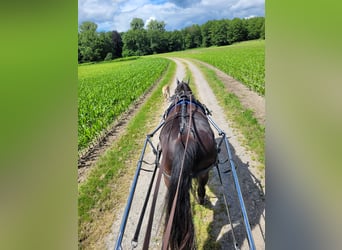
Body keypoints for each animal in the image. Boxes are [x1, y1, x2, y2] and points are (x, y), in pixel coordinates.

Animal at [159, 80, 218, 250]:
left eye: (175, 91)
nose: (172, 96)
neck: (184, 97)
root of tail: (185, 138)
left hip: (168, 176)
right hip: (203, 170)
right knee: (201, 187)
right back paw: (201, 200)